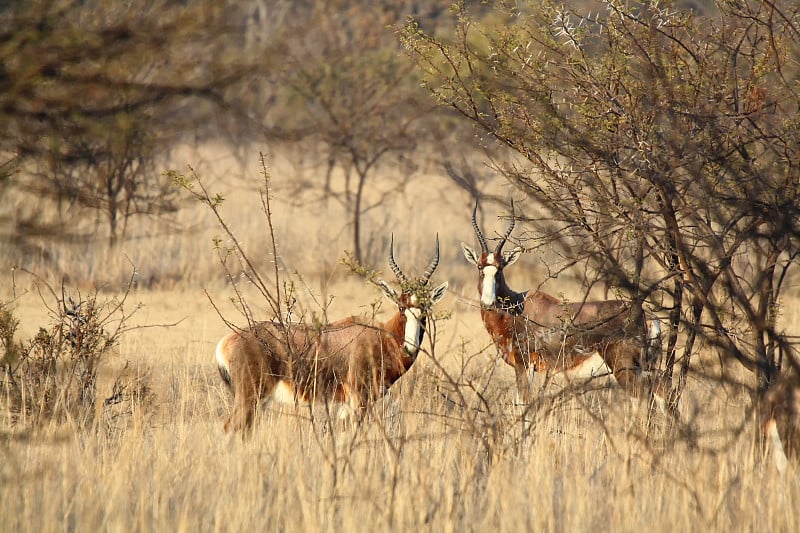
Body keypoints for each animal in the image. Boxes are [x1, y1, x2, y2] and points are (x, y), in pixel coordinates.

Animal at [216, 237, 446, 432]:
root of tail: (226, 342)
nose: (409, 347)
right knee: (230, 428)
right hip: (250, 397)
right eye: (401, 307)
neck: (379, 335)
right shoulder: (359, 399)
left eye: (425, 310)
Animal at [460, 202, 664, 410]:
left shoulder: (523, 363)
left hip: (625, 368)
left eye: (500, 269)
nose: (488, 302)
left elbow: (523, 403)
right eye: (479, 267)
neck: (518, 306)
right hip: (647, 367)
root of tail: (646, 315)